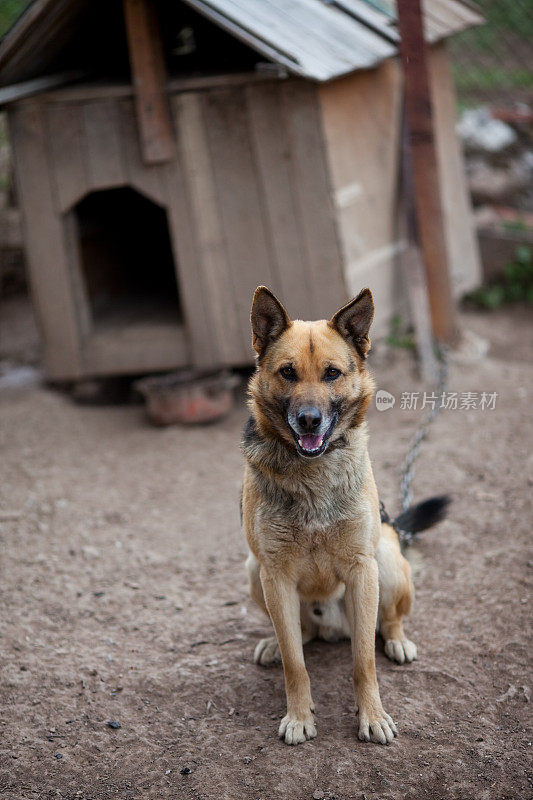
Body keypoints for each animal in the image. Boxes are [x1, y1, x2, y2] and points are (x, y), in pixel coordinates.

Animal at [242, 288, 448, 744]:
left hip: (385, 559)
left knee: (387, 621)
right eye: (287, 373)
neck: (312, 471)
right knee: (297, 636)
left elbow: (363, 663)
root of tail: (333, 627)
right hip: (253, 570)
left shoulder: (361, 569)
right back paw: (278, 642)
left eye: (332, 373)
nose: (308, 420)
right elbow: (295, 664)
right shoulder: (274, 575)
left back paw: (397, 640)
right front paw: (299, 716)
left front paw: (372, 716)